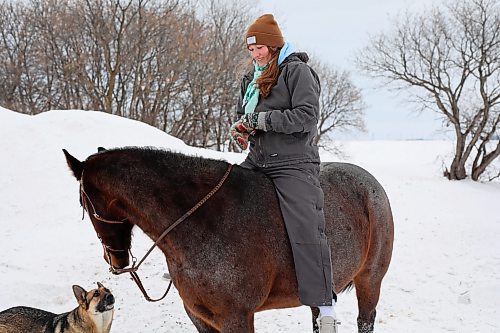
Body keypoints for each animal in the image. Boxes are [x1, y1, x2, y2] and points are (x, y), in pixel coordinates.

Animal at [62, 147, 392, 330]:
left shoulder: (236, 316)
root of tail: (370, 185)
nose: (114, 259)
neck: (201, 221)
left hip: (370, 280)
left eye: (82, 203)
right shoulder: (200, 315)